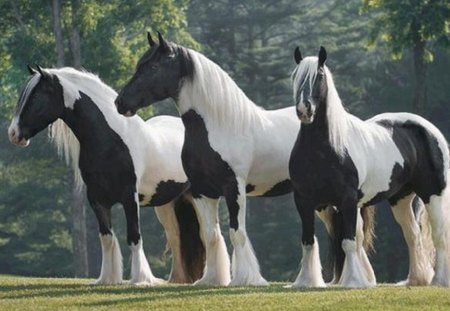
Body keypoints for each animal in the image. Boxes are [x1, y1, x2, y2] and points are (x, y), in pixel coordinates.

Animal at [7, 67, 206, 286]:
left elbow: (134, 236)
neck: (111, 140)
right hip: (169, 205)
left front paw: (140, 279)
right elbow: (107, 238)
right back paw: (177, 280)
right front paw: (107, 279)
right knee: (177, 238)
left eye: (35, 97)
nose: (13, 134)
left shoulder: (129, 197)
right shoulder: (97, 199)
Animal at [113, 33, 376, 286]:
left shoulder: (234, 188)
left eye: (154, 67)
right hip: (321, 199)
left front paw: (246, 278)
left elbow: (237, 233)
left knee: (354, 234)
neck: (219, 126)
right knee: (337, 230)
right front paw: (211, 279)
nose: (120, 102)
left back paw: (360, 279)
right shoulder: (201, 191)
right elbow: (210, 235)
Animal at [288, 47, 450, 288]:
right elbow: (308, 241)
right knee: (412, 235)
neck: (325, 148)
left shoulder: (346, 200)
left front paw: (354, 282)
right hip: (400, 199)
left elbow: (348, 242)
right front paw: (306, 282)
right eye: (295, 77)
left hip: (433, 194)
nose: (303, 110)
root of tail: (429, 129)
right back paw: (414, 280)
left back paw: (438, 281)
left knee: (439, 235)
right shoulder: (305, 201)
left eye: (320, 76)